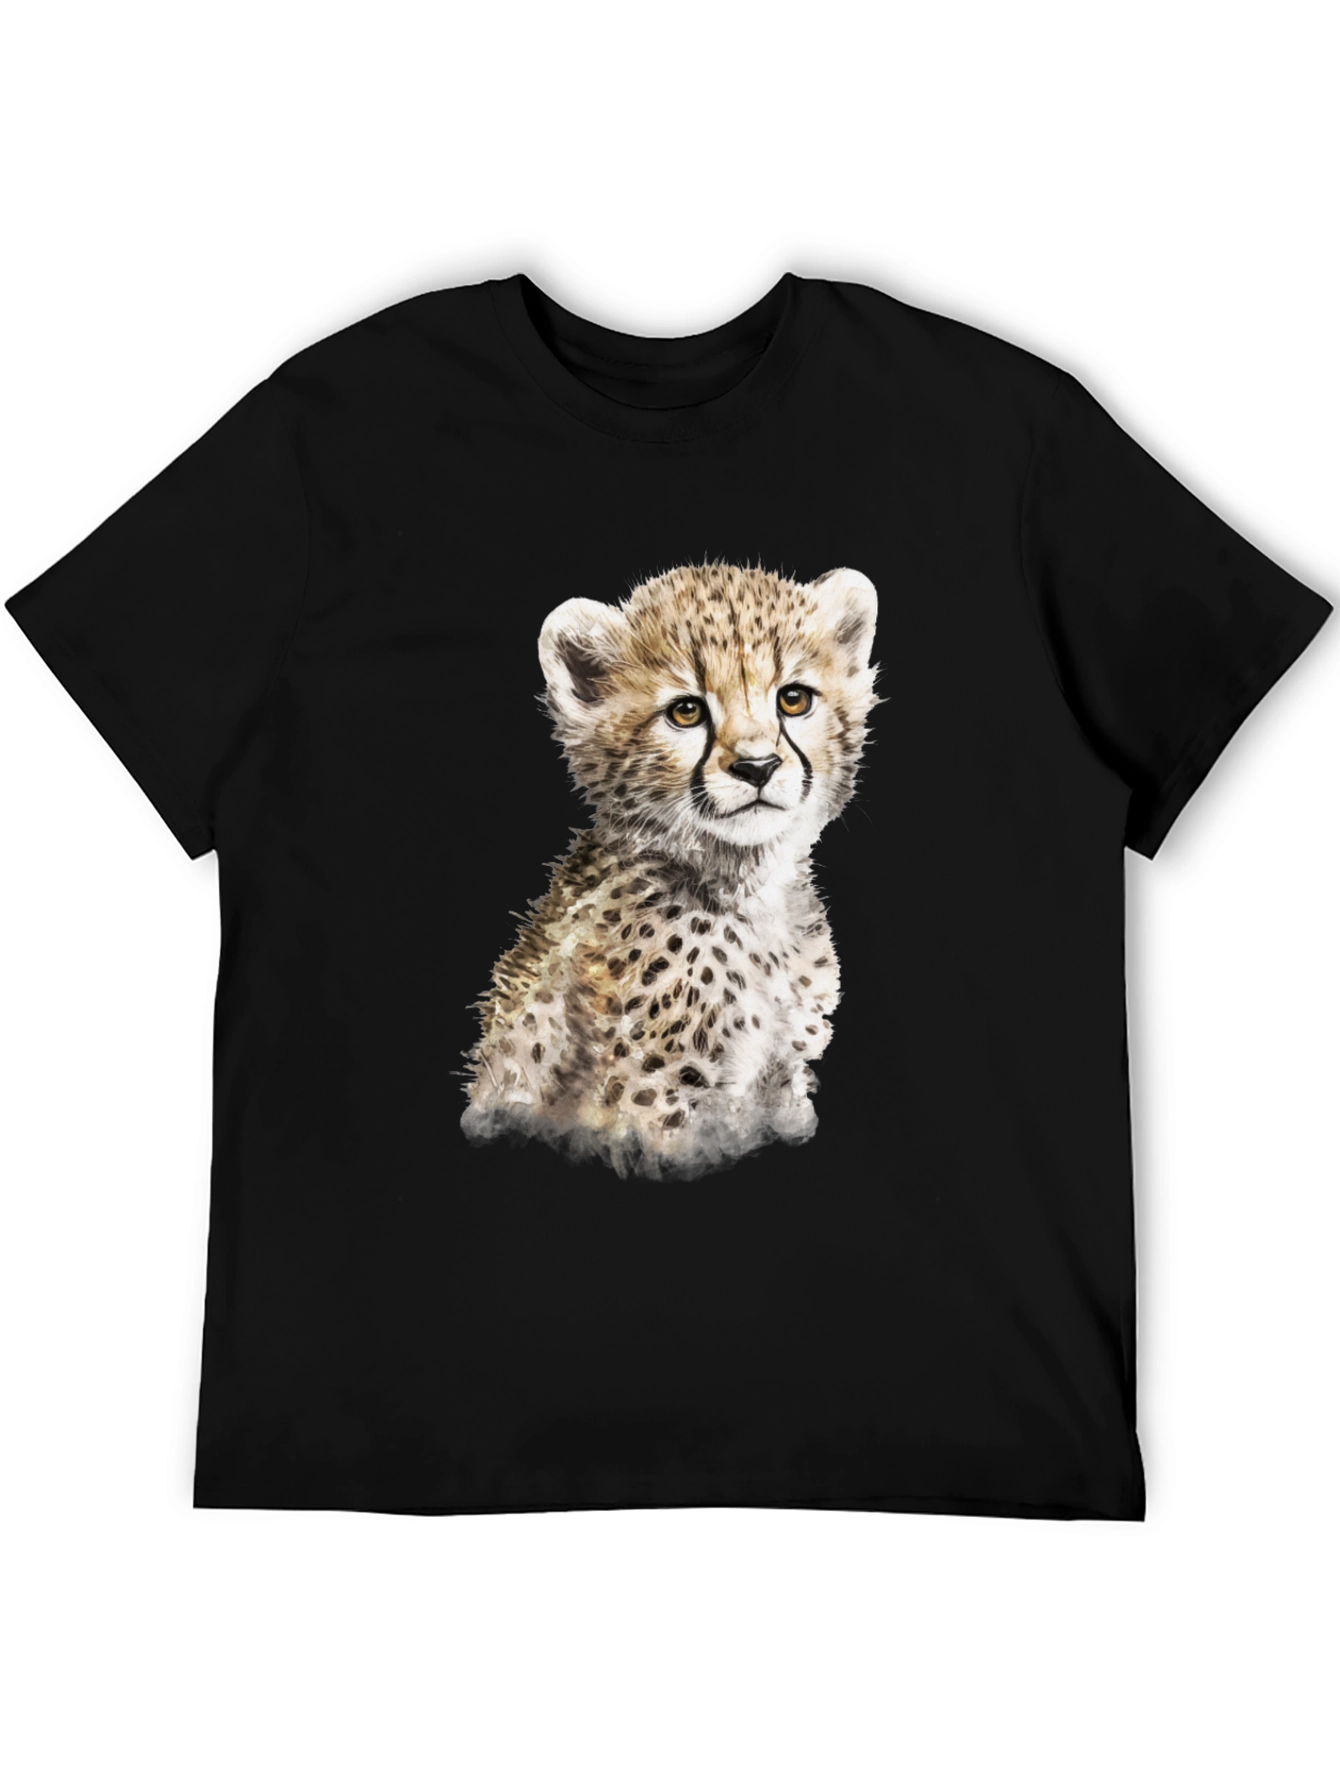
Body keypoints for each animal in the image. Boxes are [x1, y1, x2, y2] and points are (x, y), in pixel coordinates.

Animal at [462, 563, 879, 1173]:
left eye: (794, 700)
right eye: (687, 711)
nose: (758, 766)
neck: (745, 890)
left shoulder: (784, 1081)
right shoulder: (652, 1098)